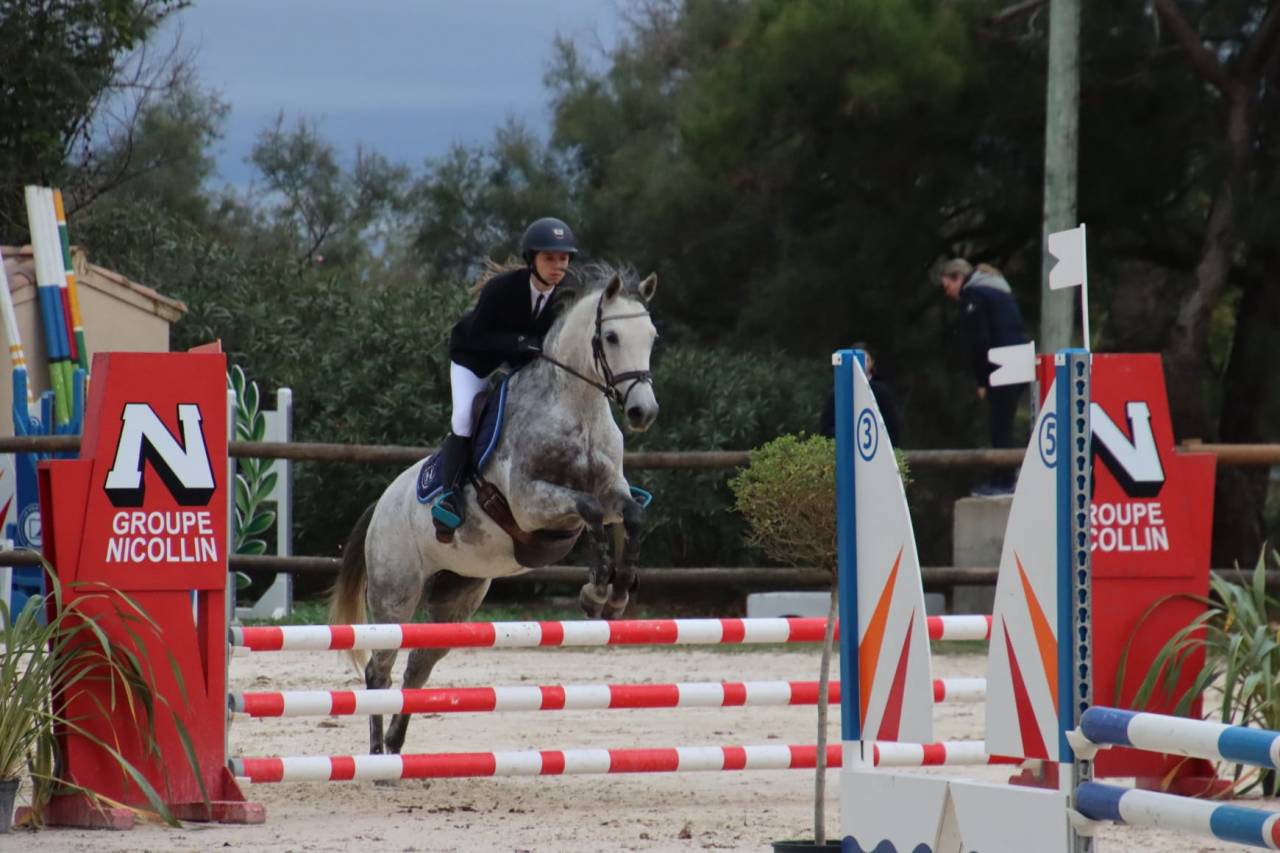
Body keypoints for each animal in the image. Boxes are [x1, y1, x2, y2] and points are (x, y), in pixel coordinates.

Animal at [330, 263, 659, 755]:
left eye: (653, 336)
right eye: (612, 337)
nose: (644, 412)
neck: (577, 410)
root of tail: (381, 505)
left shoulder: (613, 492)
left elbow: (630, 515)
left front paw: (617, 593)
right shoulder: (529, 503)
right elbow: (586, 510)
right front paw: (595, 591)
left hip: (458, 598)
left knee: (418, 666)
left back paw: (394, 746)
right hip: (395, 594)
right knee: (379, 669)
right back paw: (376, 755)